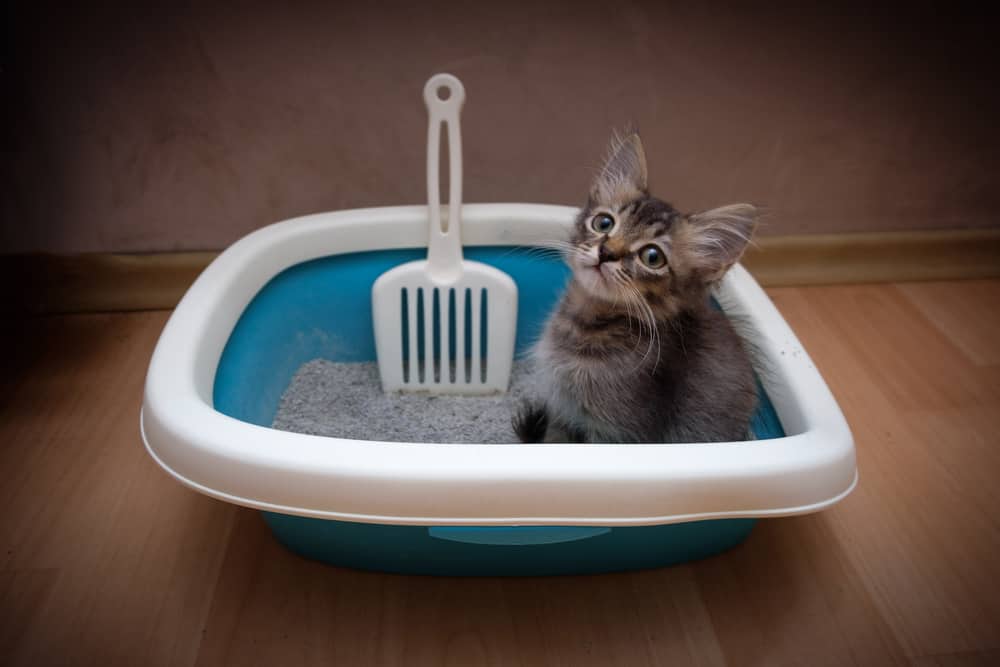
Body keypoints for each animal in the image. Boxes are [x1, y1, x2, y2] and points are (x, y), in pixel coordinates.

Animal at [516, 130, 756, 444]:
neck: (585, 325)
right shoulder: (561, 410)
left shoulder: (619, 432)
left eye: (652, 257)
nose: (606, 252)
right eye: (604, 223)